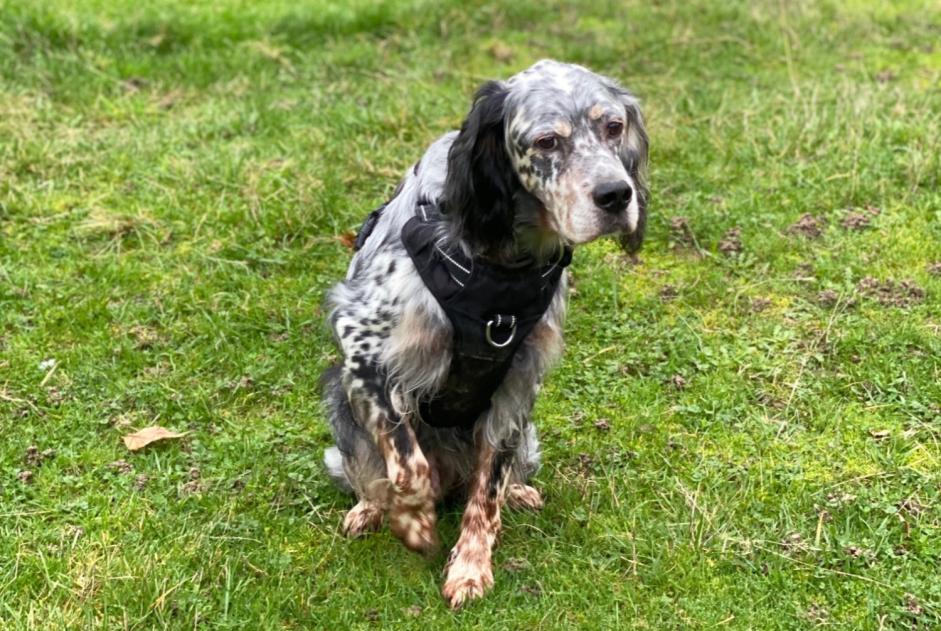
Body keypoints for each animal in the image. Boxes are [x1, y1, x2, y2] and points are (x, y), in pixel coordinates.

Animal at [322, 59, 648, 608]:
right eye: (546, 142)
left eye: (613, 127)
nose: (616, 195)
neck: (501, 266)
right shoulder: (360, 341)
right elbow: (406, 460)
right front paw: (413, 520)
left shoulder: (519, 381)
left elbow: (487, 488)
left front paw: (471, 566)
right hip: (338, 403)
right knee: (367, 473)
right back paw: (370, 509)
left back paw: (517, 491)